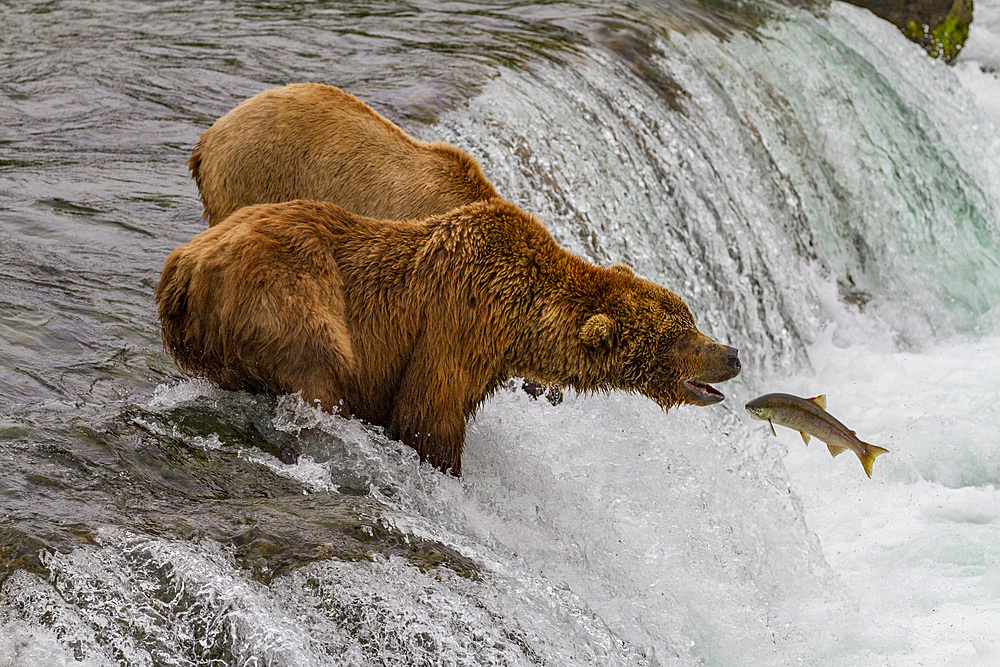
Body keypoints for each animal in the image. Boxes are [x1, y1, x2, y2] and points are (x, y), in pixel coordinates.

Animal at [154, 198, 736, 474]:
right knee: (321, 369)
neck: (521, 322)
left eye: (690, 318)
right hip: (286, 297)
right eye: (681, 337)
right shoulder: (458, 323)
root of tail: (183, 262)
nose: (730, 354)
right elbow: (428, 414)